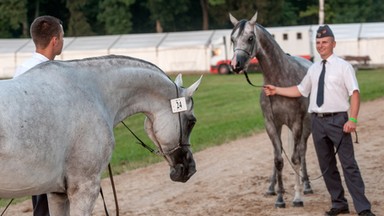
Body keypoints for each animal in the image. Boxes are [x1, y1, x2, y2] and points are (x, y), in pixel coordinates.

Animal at [230, 12, 314, 208]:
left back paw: (306, 185)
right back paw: (271, 187)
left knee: (302, 151)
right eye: (232, 39)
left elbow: (295, 158)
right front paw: (280, 198)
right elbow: (278, 160)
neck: (279, 81)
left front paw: (297, 197)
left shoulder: (296, 123)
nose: (236, 65)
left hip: (306, 124)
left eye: (250, 38)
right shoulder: (271, 124)